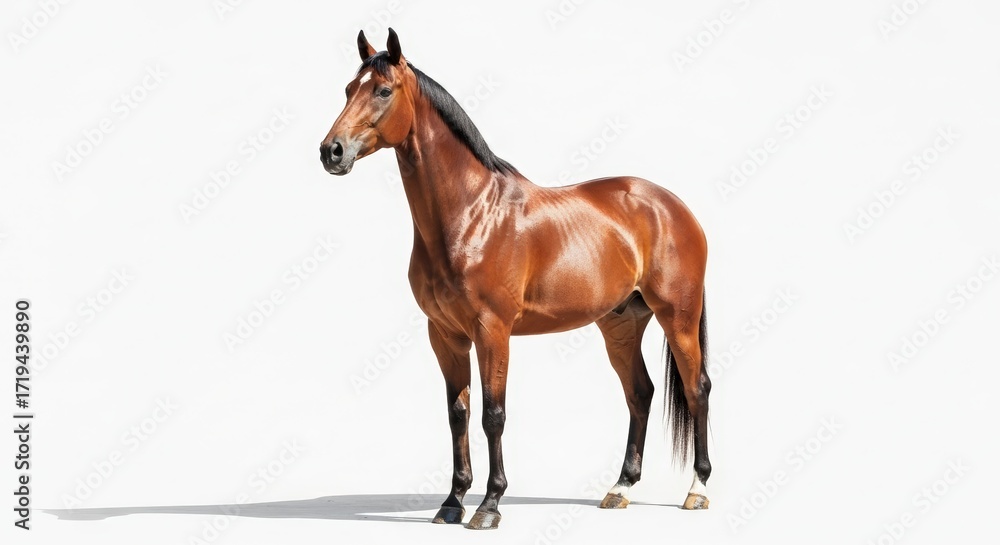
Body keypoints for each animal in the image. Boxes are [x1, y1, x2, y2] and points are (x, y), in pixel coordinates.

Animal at [319, 28, 712, 530]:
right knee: (640, 392)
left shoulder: (493, 330)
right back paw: (620, 488)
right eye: (349, 89)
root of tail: (673, 205)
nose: (331, 151)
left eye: (383, 91)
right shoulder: (444, 334)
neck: (471, 214)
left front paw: (489, 505)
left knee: (696, 388)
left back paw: (697, 490)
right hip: (621, 323)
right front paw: (452, 502)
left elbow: (493, 414)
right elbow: (458, 413)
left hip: (678, 316)